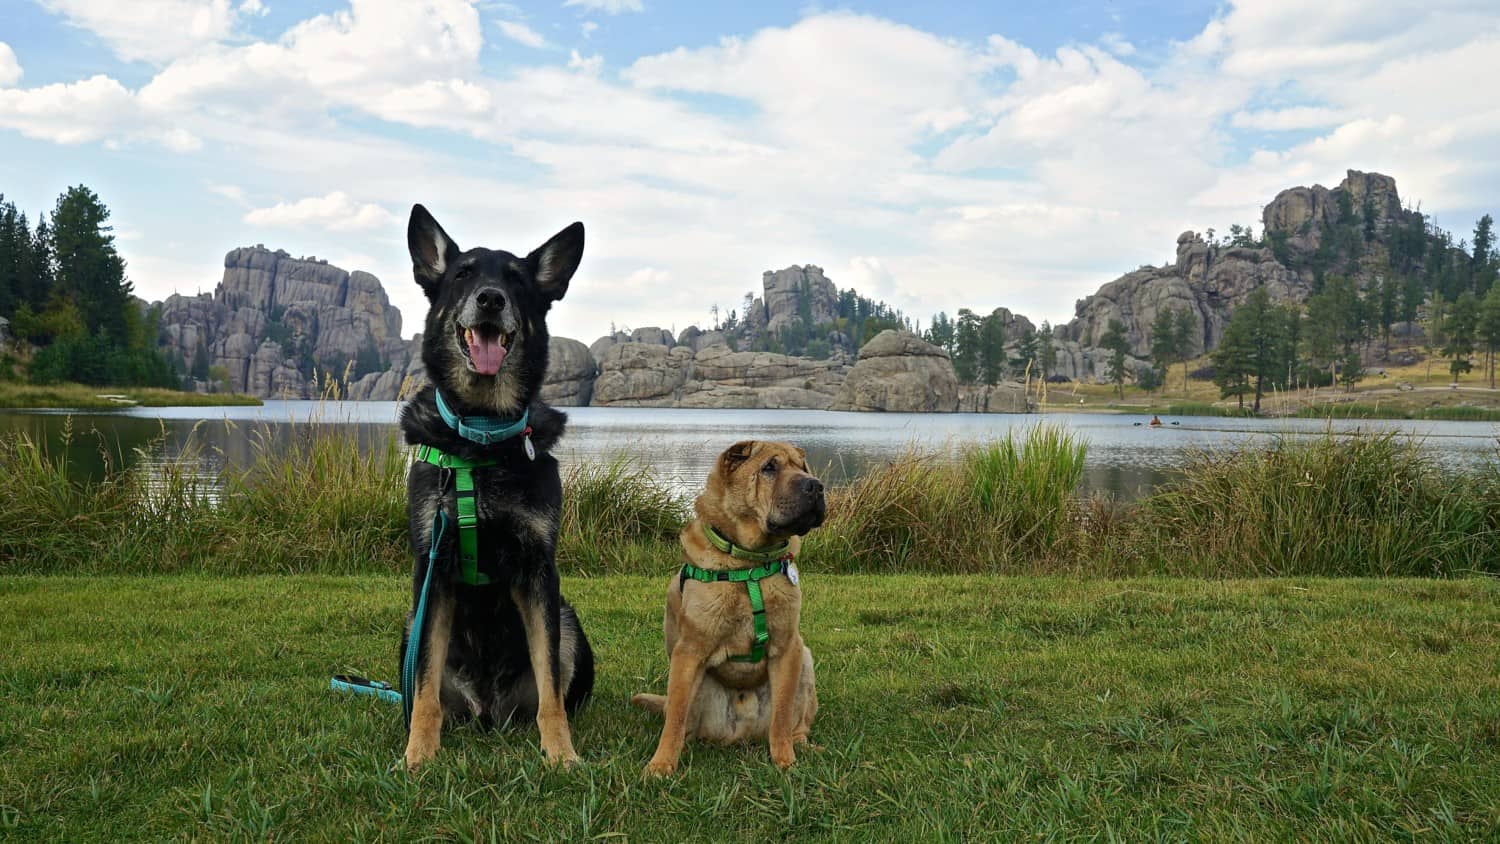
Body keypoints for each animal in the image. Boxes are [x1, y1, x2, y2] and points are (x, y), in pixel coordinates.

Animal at [402, 206, 594, 773]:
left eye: (517, 280)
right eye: (463, 273)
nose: (491, 298)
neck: (481, 436)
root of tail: (487, 709)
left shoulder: (538, 570)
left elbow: (551, 688)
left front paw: (561, 754)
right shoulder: (433, 569)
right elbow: (424, 689)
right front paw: (418, 754)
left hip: (568, 619)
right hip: (408, 626)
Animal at [630, 443, 828, 779]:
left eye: (803, 467)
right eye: (769, 468)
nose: (816, 486)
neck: (748, 563)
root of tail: (741, 733)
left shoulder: (787, 648)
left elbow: (782, 715)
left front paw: (785, 761)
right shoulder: (689, 652)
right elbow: (674, 719)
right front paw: (660, 765)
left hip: (805, 659)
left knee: (795, 724)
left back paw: (804, 747)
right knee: (680, 719)